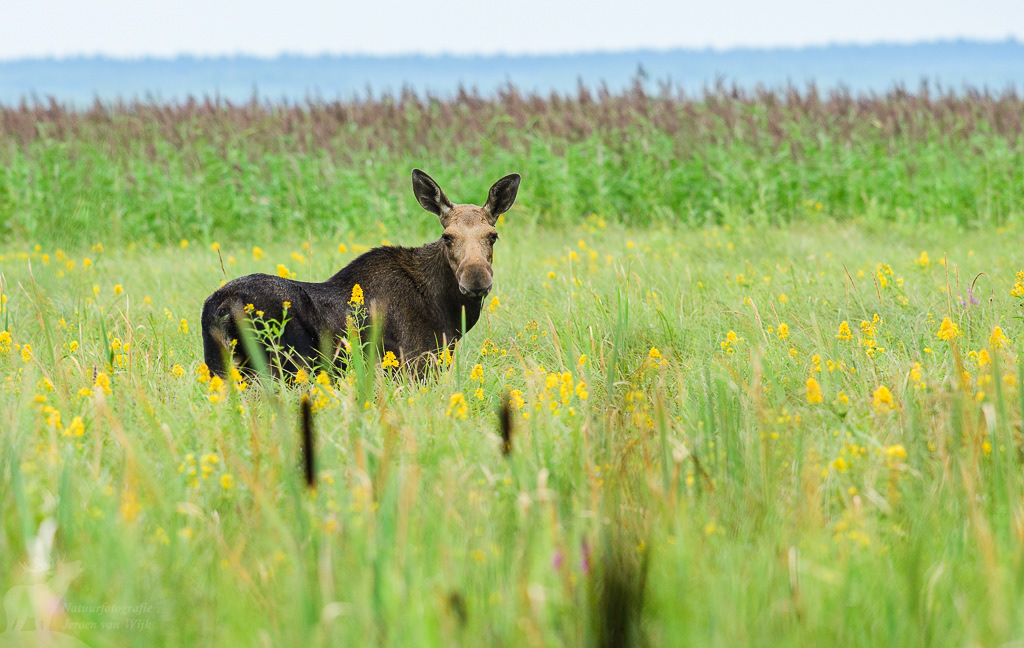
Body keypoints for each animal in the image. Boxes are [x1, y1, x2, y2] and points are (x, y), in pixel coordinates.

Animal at [200, 169, 520, 378]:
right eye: (448, 237)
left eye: (492, 236)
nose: (476, 279)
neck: (447, 311)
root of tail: (220, 308)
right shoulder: (414, 365)